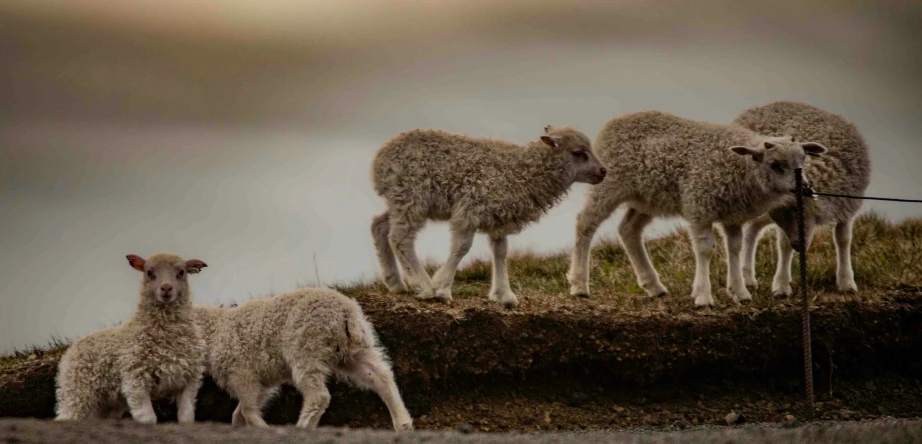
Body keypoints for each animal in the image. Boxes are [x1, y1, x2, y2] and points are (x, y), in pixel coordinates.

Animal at [55, 253, 210, 424]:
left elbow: (186, 417)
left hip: (107, 401)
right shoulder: (135, 378)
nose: (166, 288)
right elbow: (148, 418)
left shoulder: (189, 379)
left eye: (181, 272)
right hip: (77, 389)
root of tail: (73, 347)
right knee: (67, 414)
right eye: (149, 272)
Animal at [194, 286, 414, 432]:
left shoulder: (242, 373)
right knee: (381, 376)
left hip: (306, 350)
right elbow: (240, 413)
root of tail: (346, 313)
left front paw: (263, 428)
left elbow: (247, 409)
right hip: (354, 350)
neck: (214, 330)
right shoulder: (262, 383)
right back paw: (403, 424)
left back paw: (302, 427)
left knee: (318, 396)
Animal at [370, 124, 608, 306]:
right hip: (412, 197)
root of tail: (379, 161)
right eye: (578, 152)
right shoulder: (471, 209)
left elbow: (500, 253)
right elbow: (461, 248)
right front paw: (442, 288)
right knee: (400, 238)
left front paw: (505, 295)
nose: (603, 171)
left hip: (400, 200)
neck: (525, 171)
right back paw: (423, 285)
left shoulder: (499, 218)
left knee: (379, 226)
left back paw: (396, 283)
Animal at [564, 109, 832, 306]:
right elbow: (705, 250)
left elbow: (734, 248)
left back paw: (654, 285)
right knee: (585, 223)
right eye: (776, 165)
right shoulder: (699, 206)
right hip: (609, 184)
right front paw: (703, 296)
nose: (805, 188)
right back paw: (579, 285)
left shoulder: (733, 214)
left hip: (647, 198)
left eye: (803, 159)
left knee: (629, 230)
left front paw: (739, 292)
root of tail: (616, 120)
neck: (742, 168)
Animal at [724, 101, 868, 296]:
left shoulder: (847, 207)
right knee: (750, 229)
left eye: (797, 209)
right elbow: (784, 245)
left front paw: (846, 282)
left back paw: (747, 277)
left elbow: (843, 239)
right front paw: (782, 286)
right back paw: (746, 277)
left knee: (752, 229)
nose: (799, 245)